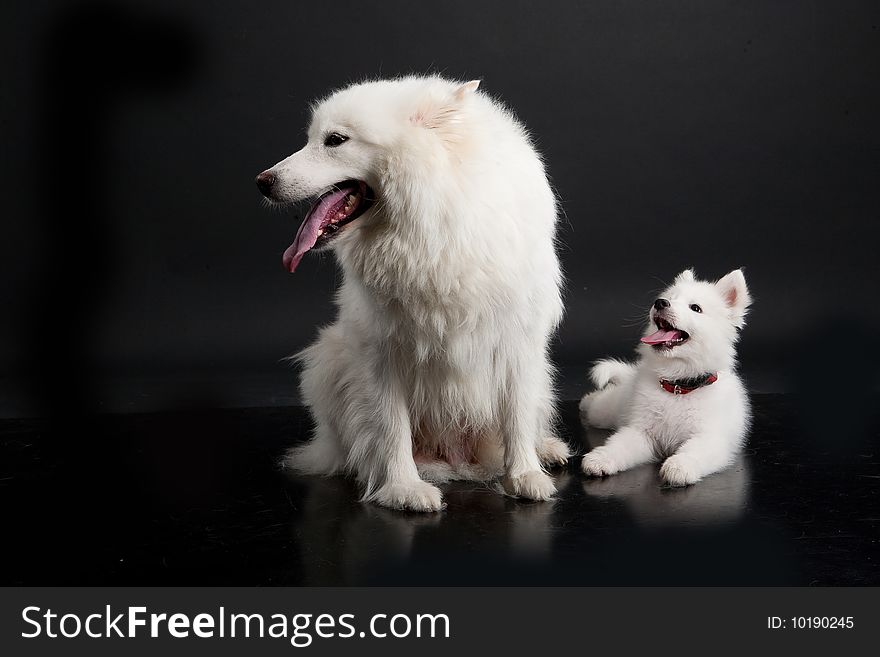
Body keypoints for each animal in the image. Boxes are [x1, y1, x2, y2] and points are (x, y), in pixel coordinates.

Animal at [254, 75, 572, 508]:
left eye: (335, 140)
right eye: (311, 139)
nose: (262, 182)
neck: (434, 232)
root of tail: (457, 458)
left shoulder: (518, 341)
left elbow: (517, 417)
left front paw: (525, 476)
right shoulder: (382, 348)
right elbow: (391, 427)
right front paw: (402, 487)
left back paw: (547, 449)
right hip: (328, 360)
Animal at [580, 268, 752, 486]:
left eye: (695, 308)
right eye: (670, 298)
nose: (660, 302)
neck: (679, 386)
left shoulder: (710, 438)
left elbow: (695, 451)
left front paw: (679, 466)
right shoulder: (642, 432)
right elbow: (619, 445)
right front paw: (601, 457)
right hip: (605, 412)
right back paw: (587, 401)